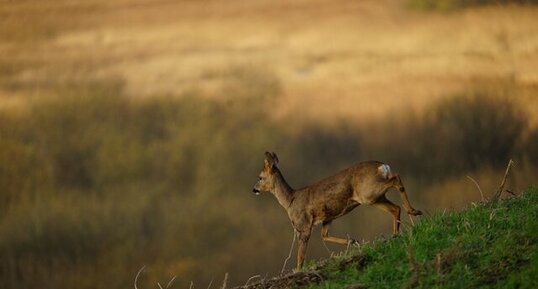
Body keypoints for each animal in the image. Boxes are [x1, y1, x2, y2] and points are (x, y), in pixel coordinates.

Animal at [253, 151, 420, 270]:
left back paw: (413, 211)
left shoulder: (304, 225)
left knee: (396, 179)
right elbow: (324, 236)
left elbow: (301, 256)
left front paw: (298, 271)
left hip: (368, 193)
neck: (290, 200)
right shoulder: (327, 218)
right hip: (375, 198)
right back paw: (397, 232)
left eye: (260, 177)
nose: (254, 189)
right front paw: (354, 241)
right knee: (395, 208)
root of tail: (383, 166)